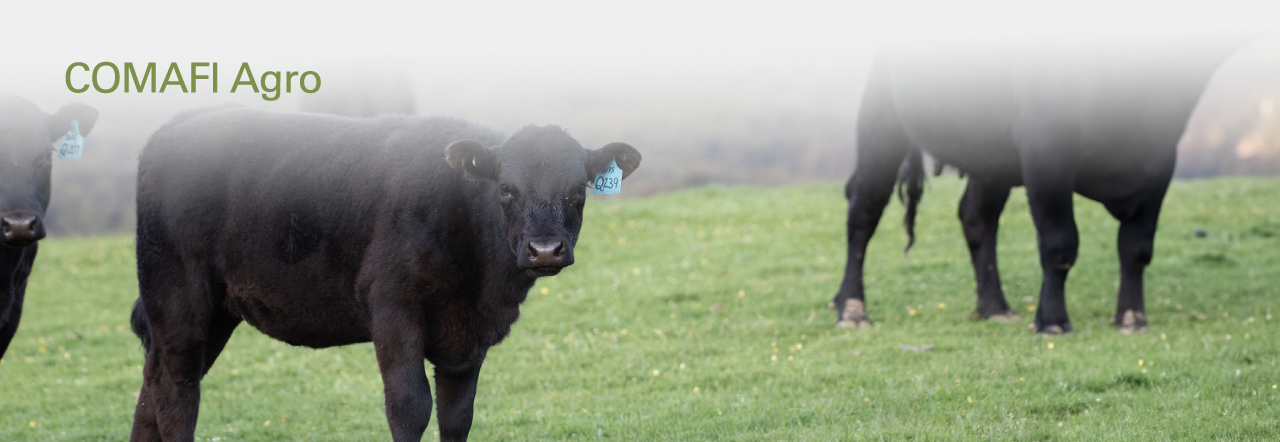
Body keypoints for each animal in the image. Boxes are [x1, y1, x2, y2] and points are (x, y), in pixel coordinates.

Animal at [129, 106, 640, 440]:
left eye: (579, 191)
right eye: (507, 189)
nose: (545, 250)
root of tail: (177, 123)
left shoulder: (468, 336)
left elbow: (458, 413)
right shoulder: (393, 305)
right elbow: (410, 406)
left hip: (213, 311)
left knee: (151, 391)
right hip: (178, 297)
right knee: (177, 393)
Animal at [829, 35, 1249, 333]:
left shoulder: (1161, 162)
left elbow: (1137, 248)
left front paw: (1131, 319)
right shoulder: (1046, 151)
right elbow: (1060, 244)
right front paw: (1053, 321)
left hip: (992, 154)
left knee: (976, 216)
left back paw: (994, 308)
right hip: (883, 119)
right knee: (864, 207)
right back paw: (851, 309)